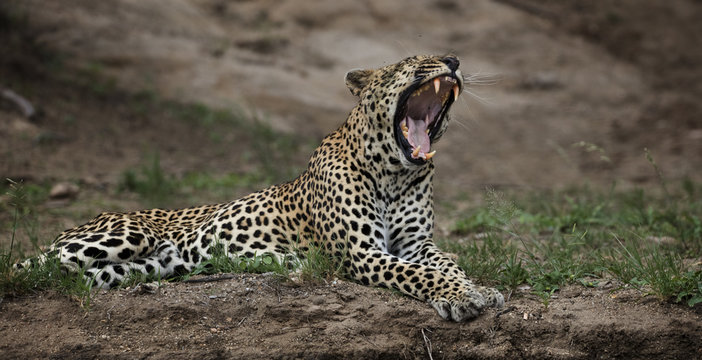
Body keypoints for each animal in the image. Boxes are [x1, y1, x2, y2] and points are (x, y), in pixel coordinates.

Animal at [16, 55, 506, 320]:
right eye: (411, 63)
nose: (455, 61)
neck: (394, 173)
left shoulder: (417, 244)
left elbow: (448, 263)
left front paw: (476, 290)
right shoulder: (362, 253)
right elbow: (420, 274)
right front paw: (460, 296)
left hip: (137, 267)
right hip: (125, 235)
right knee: (26, 266)